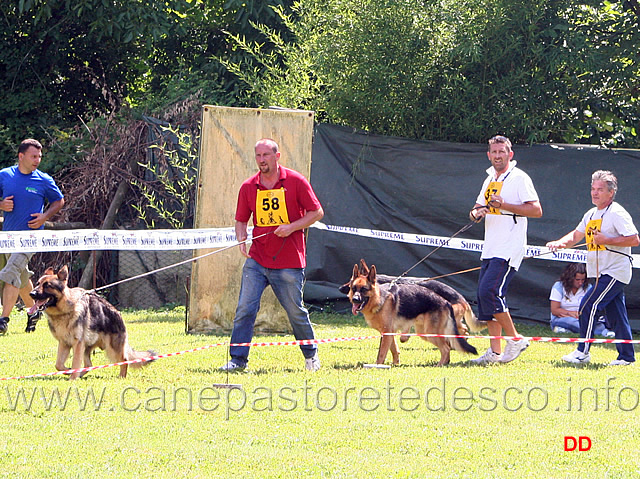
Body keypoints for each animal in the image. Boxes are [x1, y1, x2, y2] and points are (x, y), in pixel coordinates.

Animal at [342, 260, 478, 366]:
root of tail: (446, 302)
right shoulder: (388, 332)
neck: (379, 299)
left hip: (430, 332)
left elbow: (381, 353)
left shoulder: (386, 332)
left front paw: (378, 366)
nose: (354, 299)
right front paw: (395, 363)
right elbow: (394, 349)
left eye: (364, 289)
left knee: (446, 347)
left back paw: (440, 364)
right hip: (423, 331)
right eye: (353, 288)